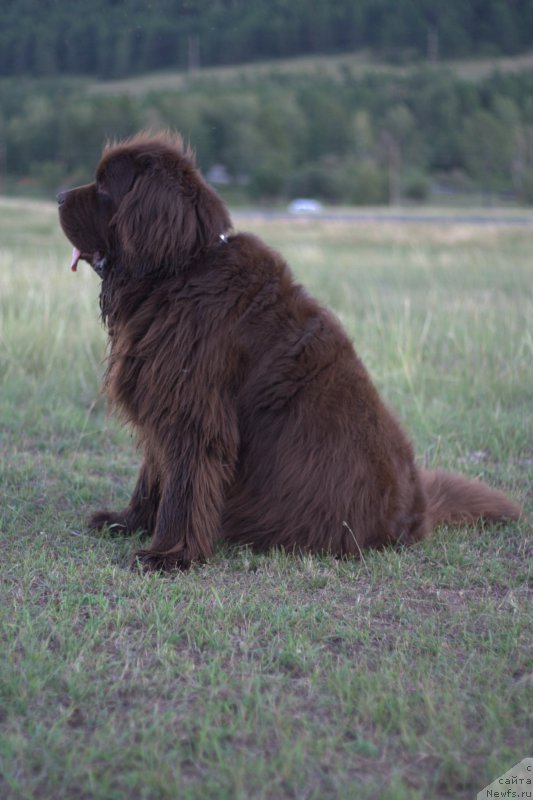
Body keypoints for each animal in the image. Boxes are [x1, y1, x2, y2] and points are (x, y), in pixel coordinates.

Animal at [56, 133, 516, 568]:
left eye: (104, 187)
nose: (58, 195)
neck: (180, 271)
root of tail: (419, 514)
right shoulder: (162, 399)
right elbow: (153, 474)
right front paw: (128, 522)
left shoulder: (192, 412)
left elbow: (182, 488)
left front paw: (168, 554)